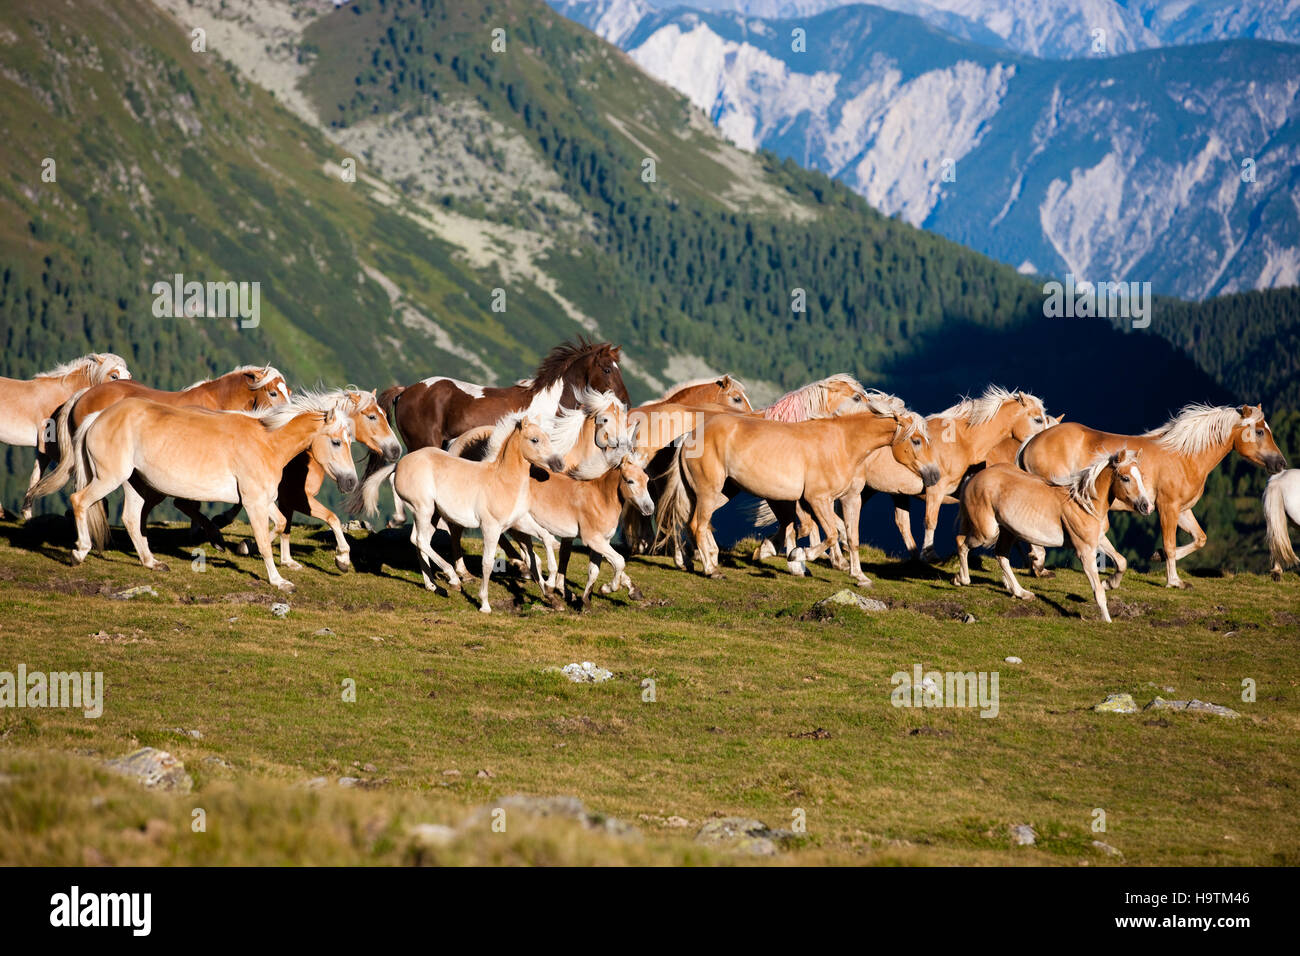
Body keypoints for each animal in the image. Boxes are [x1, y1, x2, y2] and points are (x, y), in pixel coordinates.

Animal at [0, 351, 130, 520]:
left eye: (129, 376)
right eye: (114, 376)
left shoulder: (43, 451)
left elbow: (35, 479)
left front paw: (27, 515)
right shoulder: (55, 449)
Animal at [374, 340, 626, 528]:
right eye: (606, 369)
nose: (625, 401)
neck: (548, 406)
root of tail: (406, 390)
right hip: (424, 442)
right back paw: (398, 519)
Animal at [660, 392, 935, 587]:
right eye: (916, 440)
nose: (933, 475)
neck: (843, 443)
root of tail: (691, 435)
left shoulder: (849, 499)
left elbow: (849, 536)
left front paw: (860, 577)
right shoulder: (817, 499)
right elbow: (830, 534)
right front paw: (798, 556)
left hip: (719, 492)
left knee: (686, 521)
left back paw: (692, 560)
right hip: (708, 491)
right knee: (696, 524)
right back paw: (711, 569)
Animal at [951, 450, 1154, 624]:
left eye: (1142, 476)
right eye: (1125, 478)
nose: (1147, 506)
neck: (1085, 503)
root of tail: (973, 479)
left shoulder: (1099, 540)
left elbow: (1121, 562)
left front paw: (1109, 583)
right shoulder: (1085, 550)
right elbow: (1097, 591)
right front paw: (1107, 619)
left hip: (1007, 531)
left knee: (1001, 556)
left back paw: (1022, 593)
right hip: (987, 532)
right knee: (961, 542)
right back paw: (961, 579)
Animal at [1024, 400, 1289, 587]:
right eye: (1259, 432)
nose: (1281, 463)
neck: (1184, 455)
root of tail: (1031, 443)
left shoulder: (1182, 510)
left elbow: (1200, 539)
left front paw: (1157, 556)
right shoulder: (1167, 507)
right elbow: (1170, 544)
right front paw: (1174, 581)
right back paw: (1039, 567)